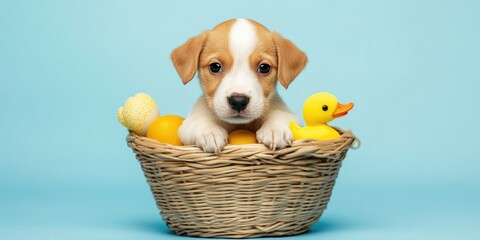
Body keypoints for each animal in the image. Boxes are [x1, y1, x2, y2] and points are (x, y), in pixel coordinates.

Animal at [172, 19, 308, 154]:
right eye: (215, 66)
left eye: (264, 67)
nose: (238, 101)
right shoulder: (188, 124)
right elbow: (200, 121)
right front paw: (210, 132)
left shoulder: (290, 115)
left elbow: (280, 115)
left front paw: (275, 130)